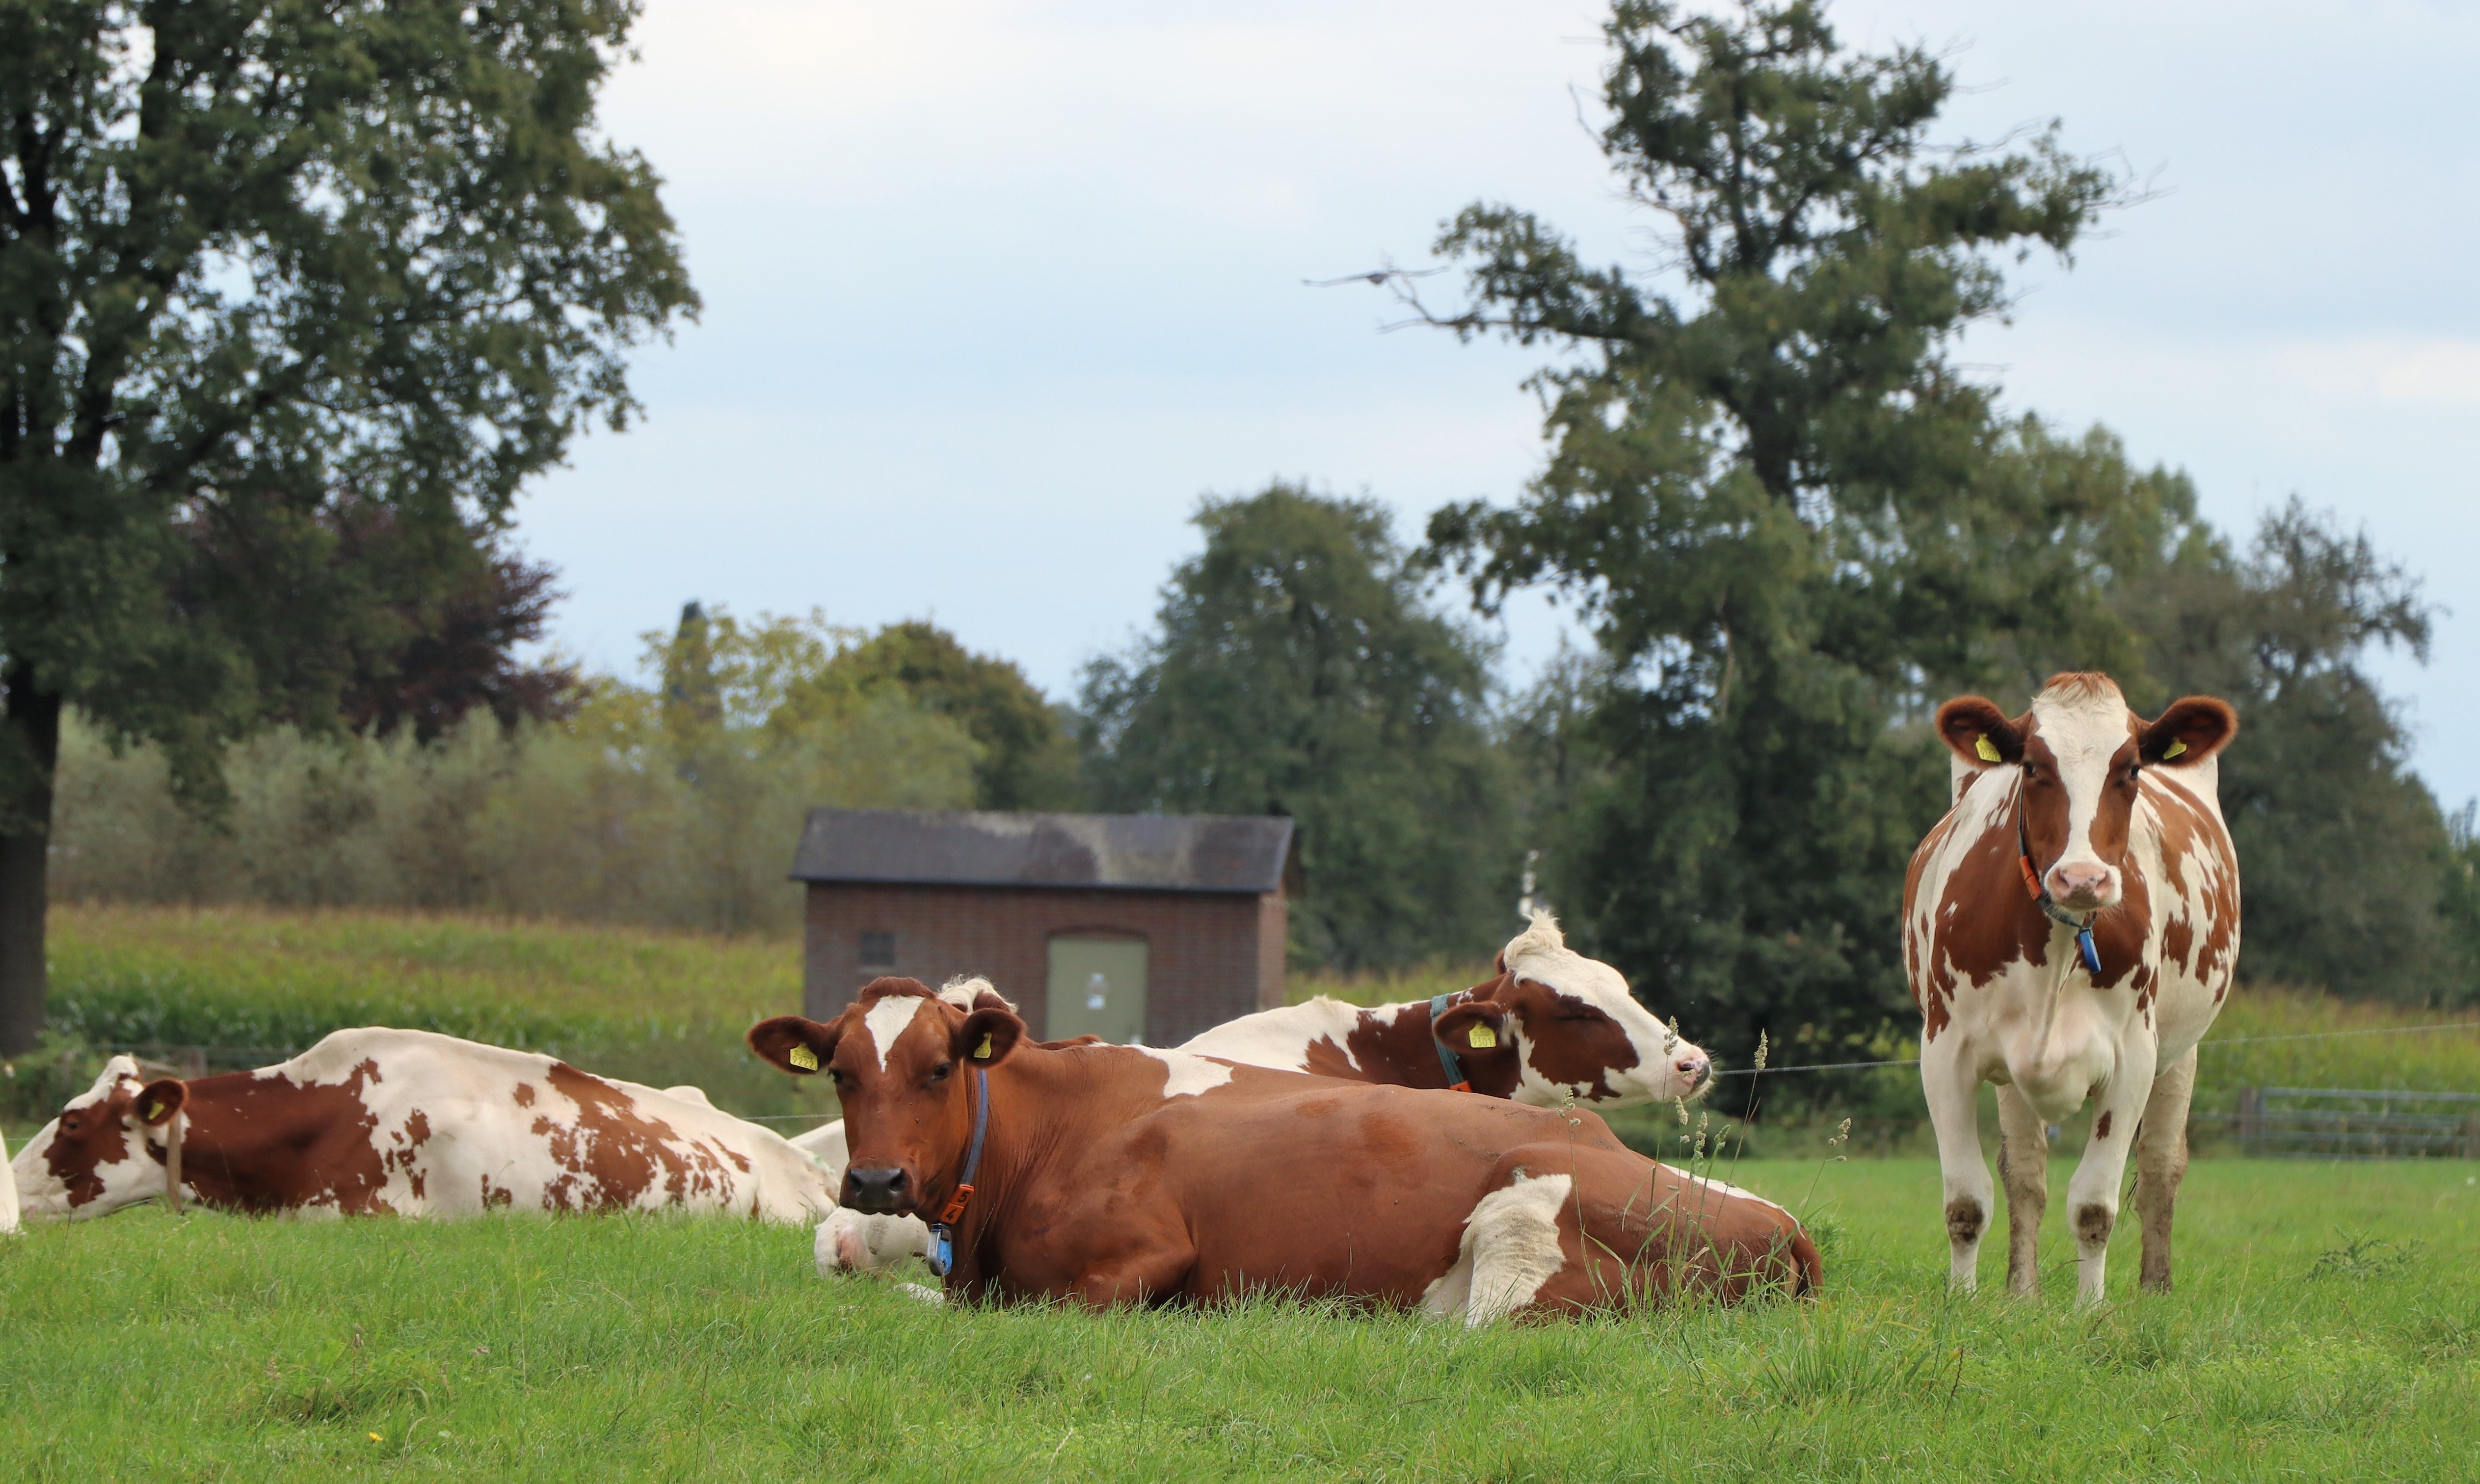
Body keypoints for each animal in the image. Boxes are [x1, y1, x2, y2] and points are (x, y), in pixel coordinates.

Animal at [748, 978, 1818, 1319]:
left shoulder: (1142, 1255)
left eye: (938, 1067)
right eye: (840, 1072)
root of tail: (1785, 1223)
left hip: (1520, 1232)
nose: (874, 1179)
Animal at [1904, 671, 2239, 1305]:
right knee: (2024, 1171)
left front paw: (2090, 1310)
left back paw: (2155, 1291)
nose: (2082, 878)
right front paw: (1963, 1302)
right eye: (2033, 766)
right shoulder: (1944, 1051)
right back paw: (2022, 1292)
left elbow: (2094, 1206)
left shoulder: (2133, 1057)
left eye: (2130, 769)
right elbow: (1967, 1201)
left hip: (2182, 1050)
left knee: (2160, 1167)